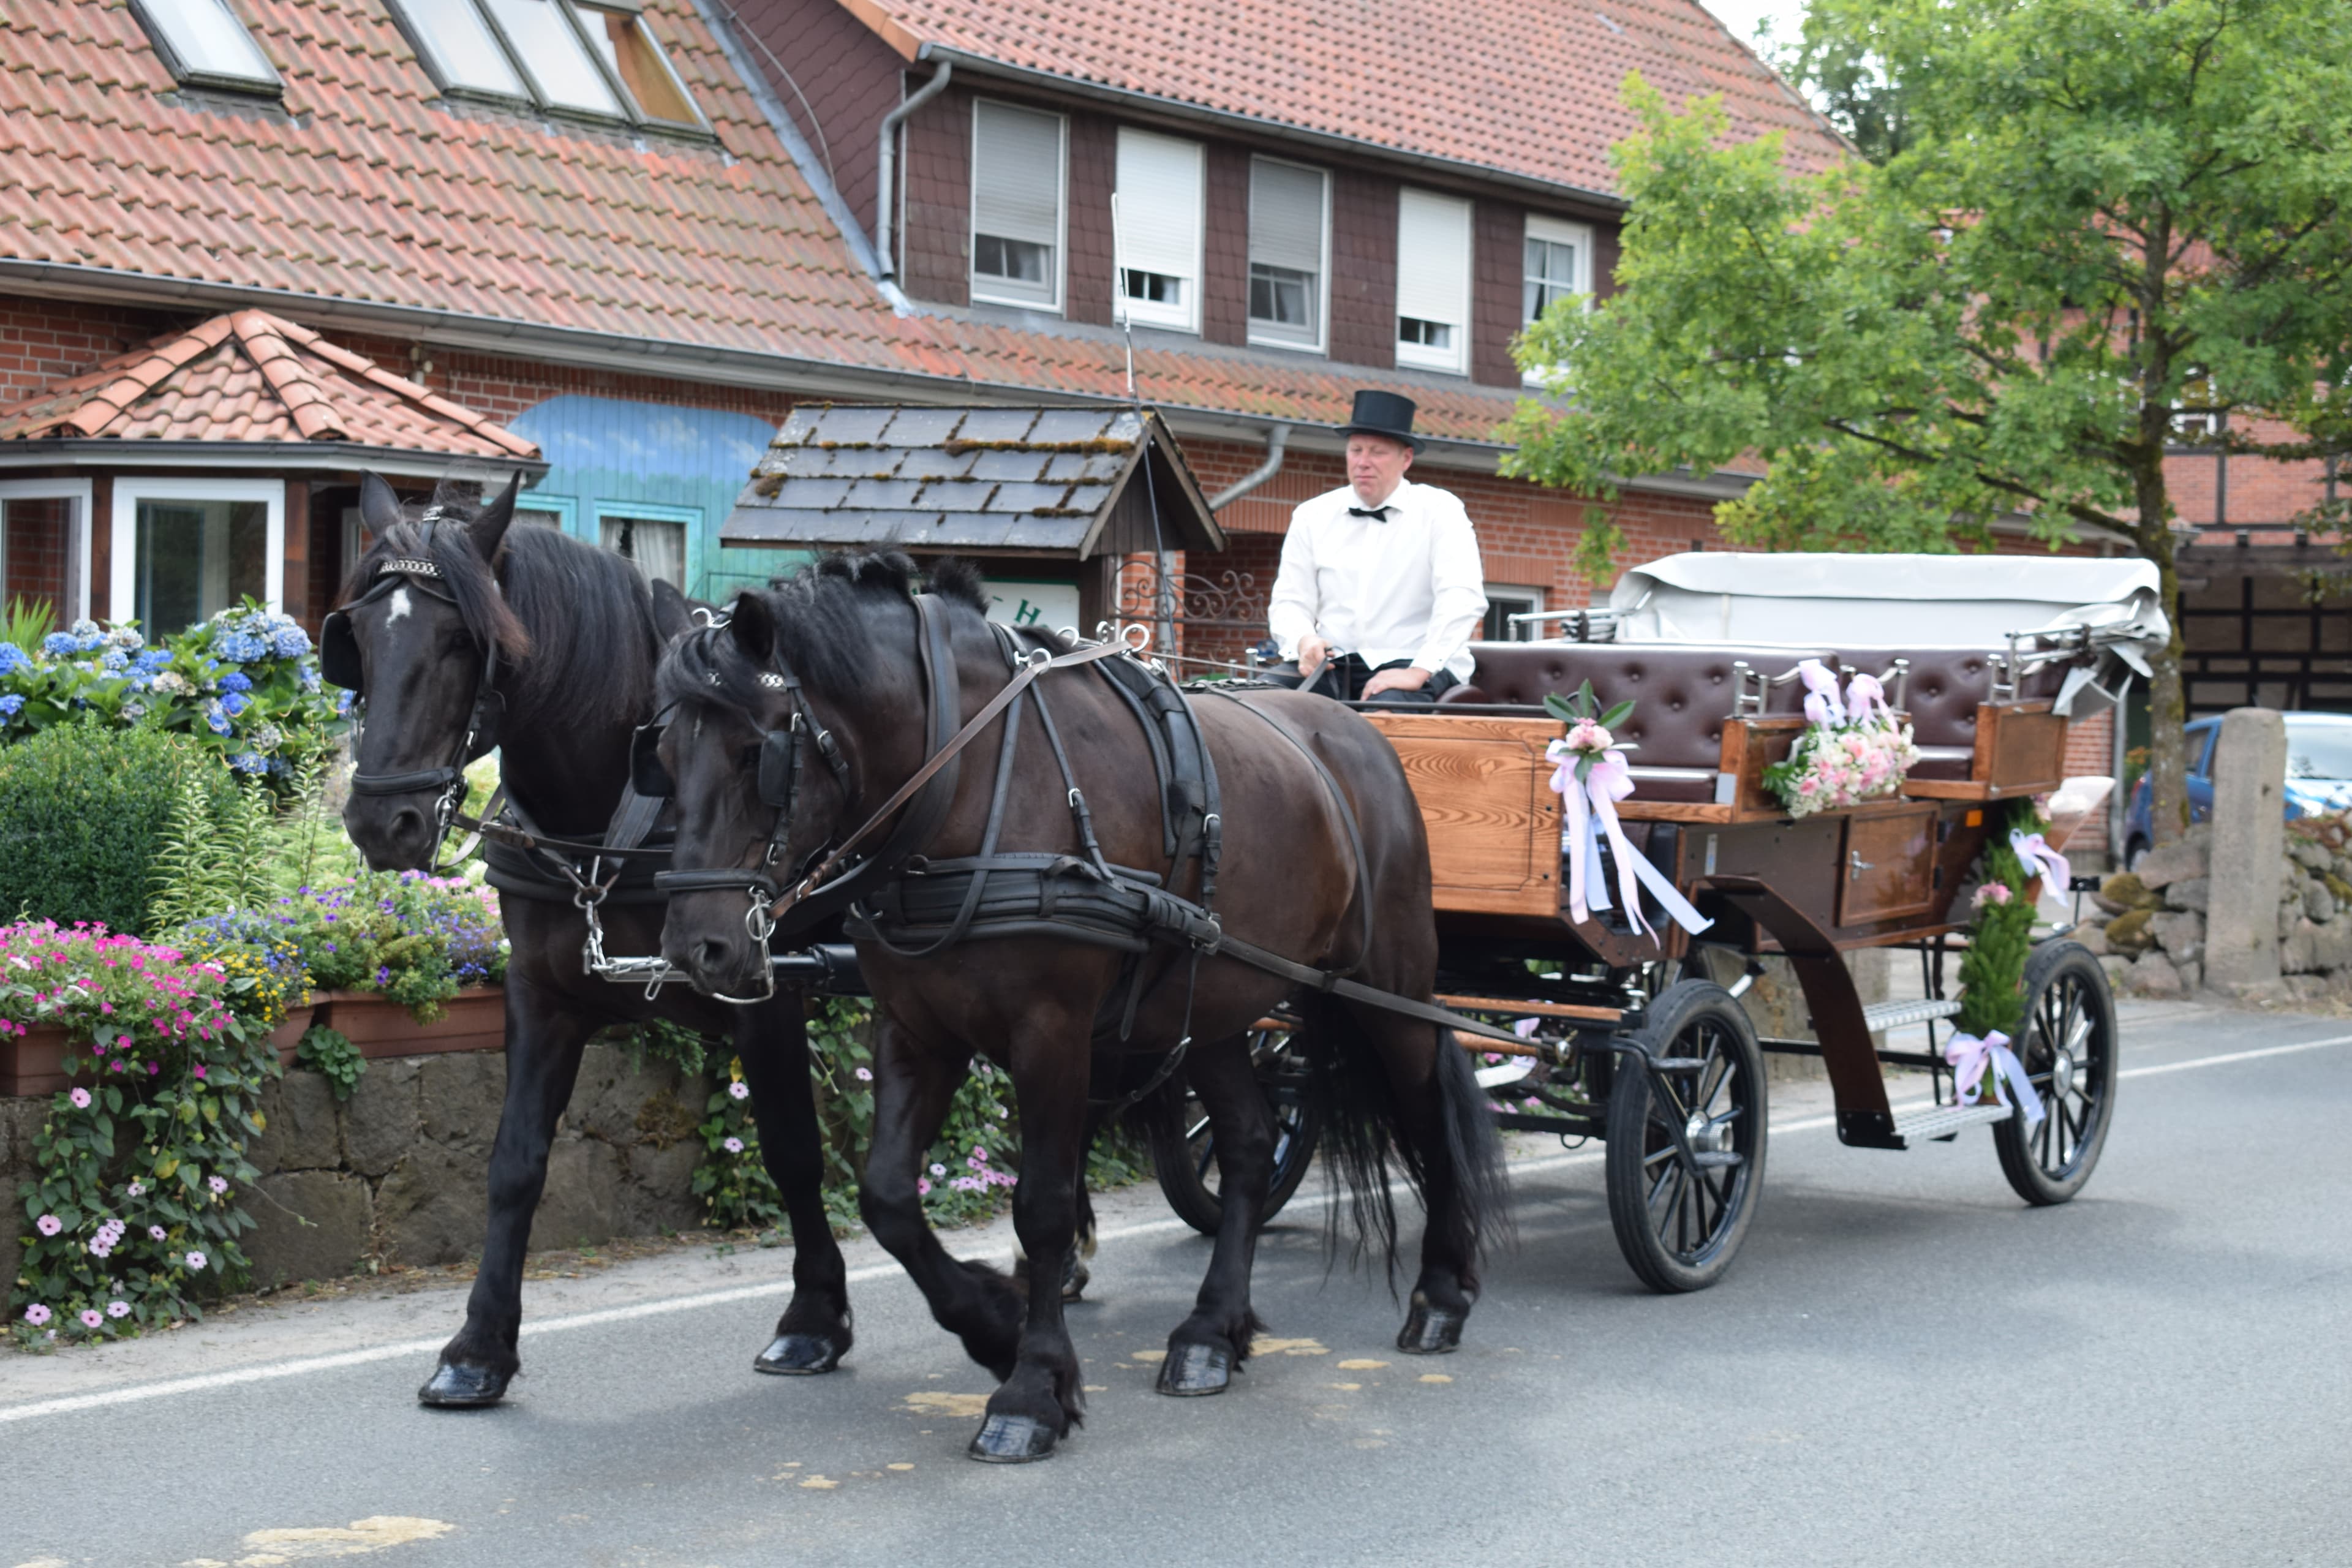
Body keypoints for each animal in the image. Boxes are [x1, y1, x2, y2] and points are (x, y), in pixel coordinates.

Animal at [326, 472, 851, 1401]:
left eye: (463, 640)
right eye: (353, 636)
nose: (382, 822)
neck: (620, 812)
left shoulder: (766, 996)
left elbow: (793, 1148)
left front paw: (815, 1317)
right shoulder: (542, 998)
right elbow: (514, 1162)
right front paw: (478, 1347)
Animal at [644, 557, 1505, 1466]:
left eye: (757, 753)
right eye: (659, 754)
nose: (698, 950)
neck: (975, 780)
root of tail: (1355, 730)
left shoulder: (1051, 1032)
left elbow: (1045, 1207)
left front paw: (1031, 1390)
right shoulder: (917, 1029)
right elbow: (887, 1197)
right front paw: (993, 1325)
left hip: (1392, 989)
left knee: (1428, 1115)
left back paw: (1440, 1296)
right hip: (1210, 1005)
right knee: (1246, 1142)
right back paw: (1210, 1333)